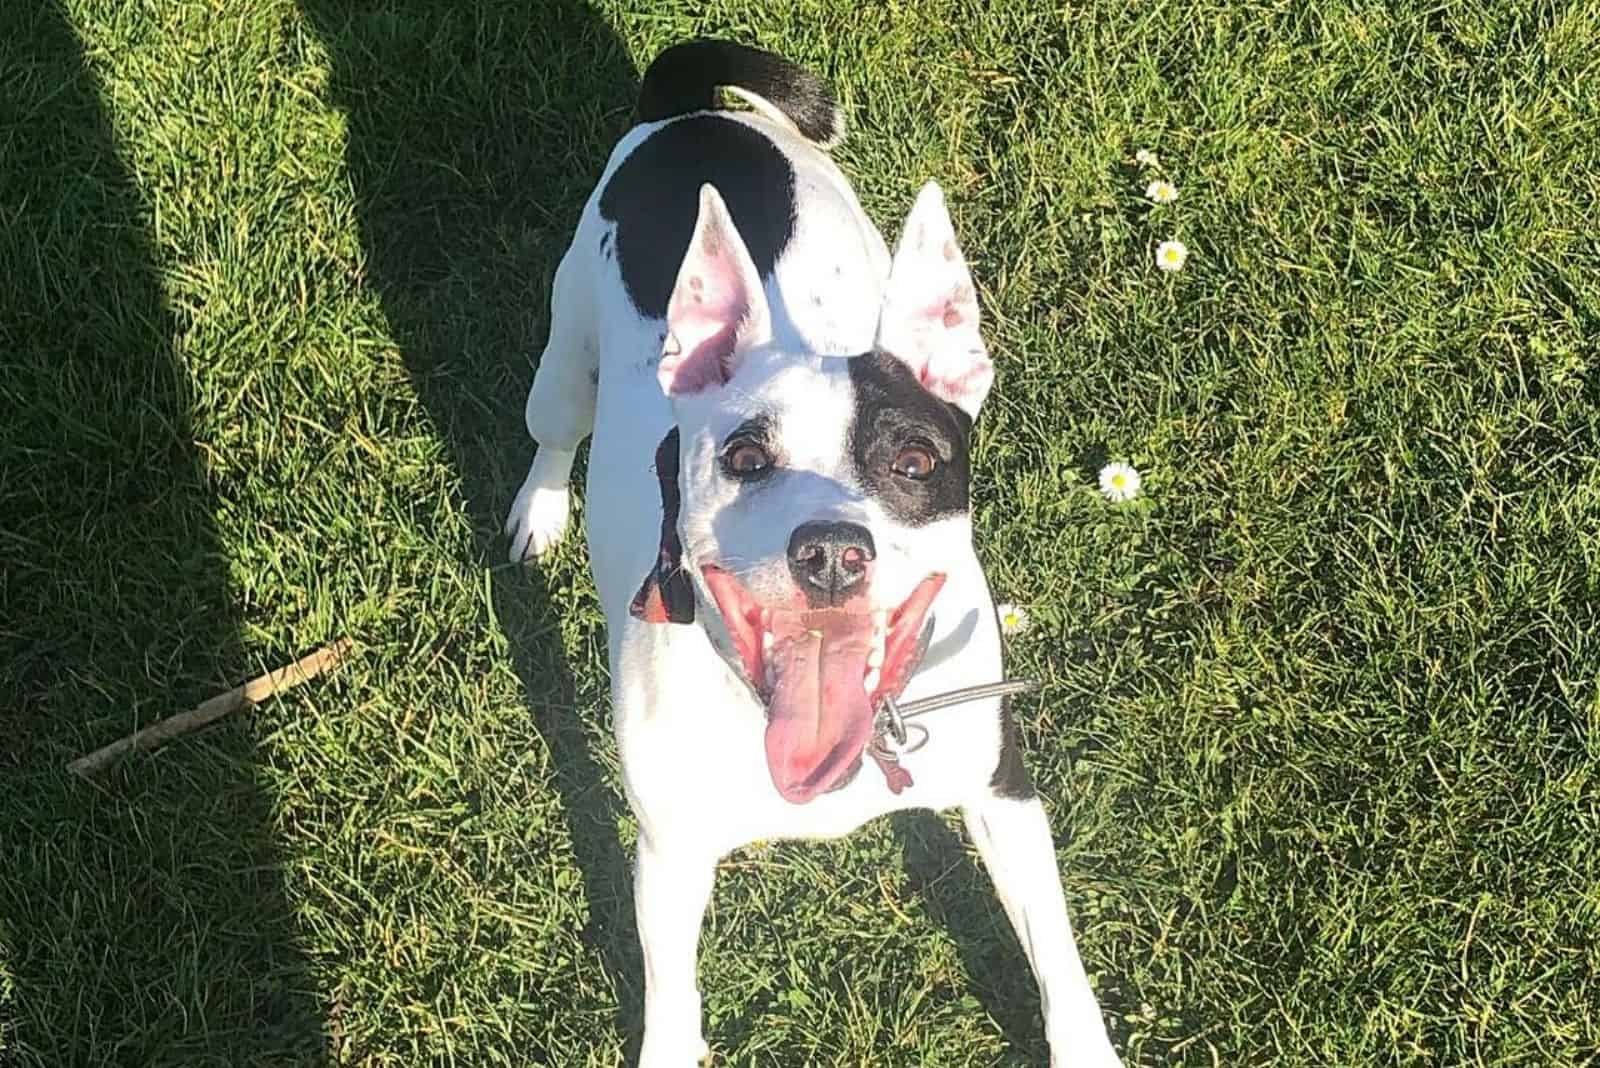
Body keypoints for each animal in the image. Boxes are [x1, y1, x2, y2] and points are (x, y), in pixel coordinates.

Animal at [505, 39, 1120, 1061]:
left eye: (915, 461)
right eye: (745, 458)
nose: (831, 549)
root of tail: (690, 116)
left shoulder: (1004, 796)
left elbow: (1062, 967)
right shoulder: (670, 857)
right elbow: (671, 1001)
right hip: (562, 363)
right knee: (553, 431)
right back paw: (539, 510)